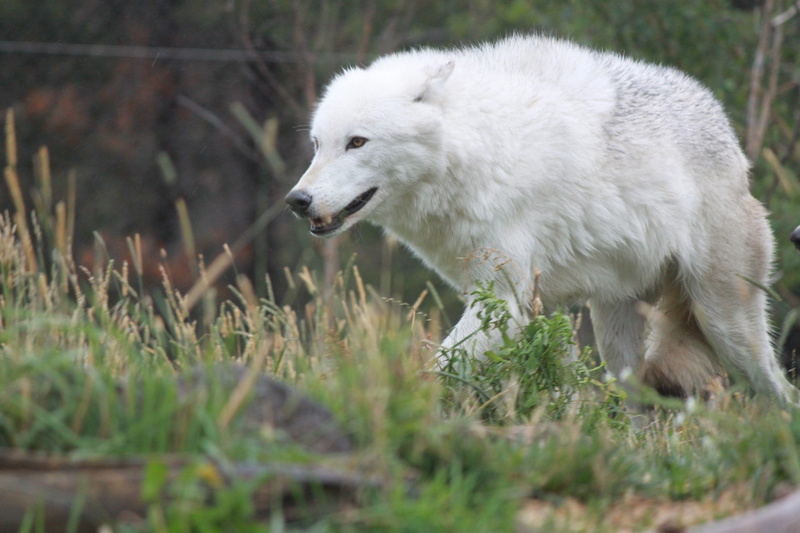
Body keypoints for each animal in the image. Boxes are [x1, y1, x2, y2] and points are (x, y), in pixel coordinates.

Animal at [285, 35, 798, 405]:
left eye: (357, 142)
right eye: (317, 144)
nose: (297, 200)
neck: (481, 150)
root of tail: (733, 145)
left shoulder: (505, 300)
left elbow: (442, 366)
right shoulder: (536, 305)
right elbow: (560, 387)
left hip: (725, 324)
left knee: (780, 393)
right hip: (616, 335)